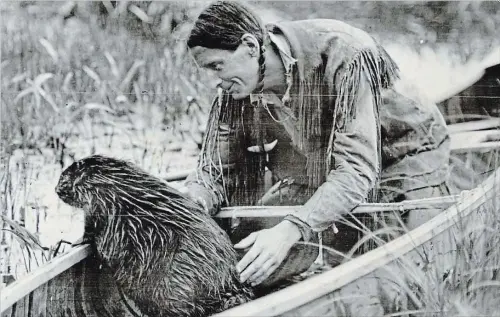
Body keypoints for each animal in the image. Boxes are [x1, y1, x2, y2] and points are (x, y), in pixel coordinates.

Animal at [54, 155, 254, 316]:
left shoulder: (100, 204)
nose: (56, 189)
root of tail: (232, 286)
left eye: (63, 176)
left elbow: (93, 230)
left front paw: (75, 242)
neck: (106, 178)